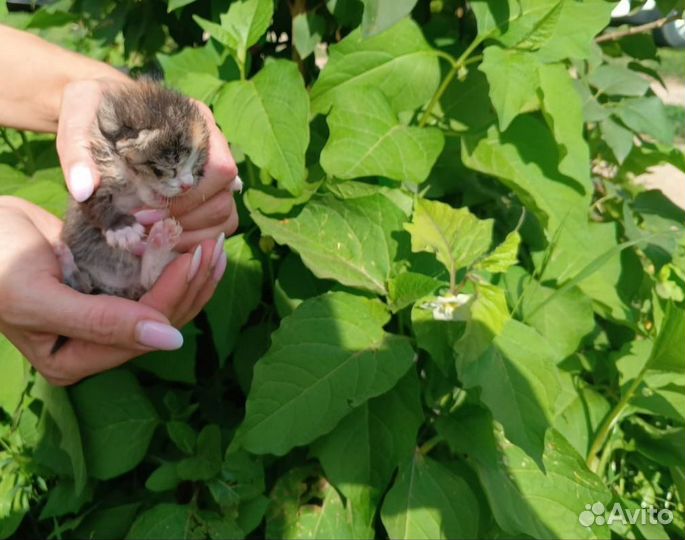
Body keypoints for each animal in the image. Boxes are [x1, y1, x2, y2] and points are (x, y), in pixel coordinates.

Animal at [56, 79, 208, 302]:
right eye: (169, 168)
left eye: (196, 168)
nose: (187, 185)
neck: (133, 183)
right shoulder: (99, 168)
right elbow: (95, 199)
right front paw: (121, 228)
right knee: (81, 285)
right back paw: (65, 258)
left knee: (149, 280)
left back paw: (160, 241)